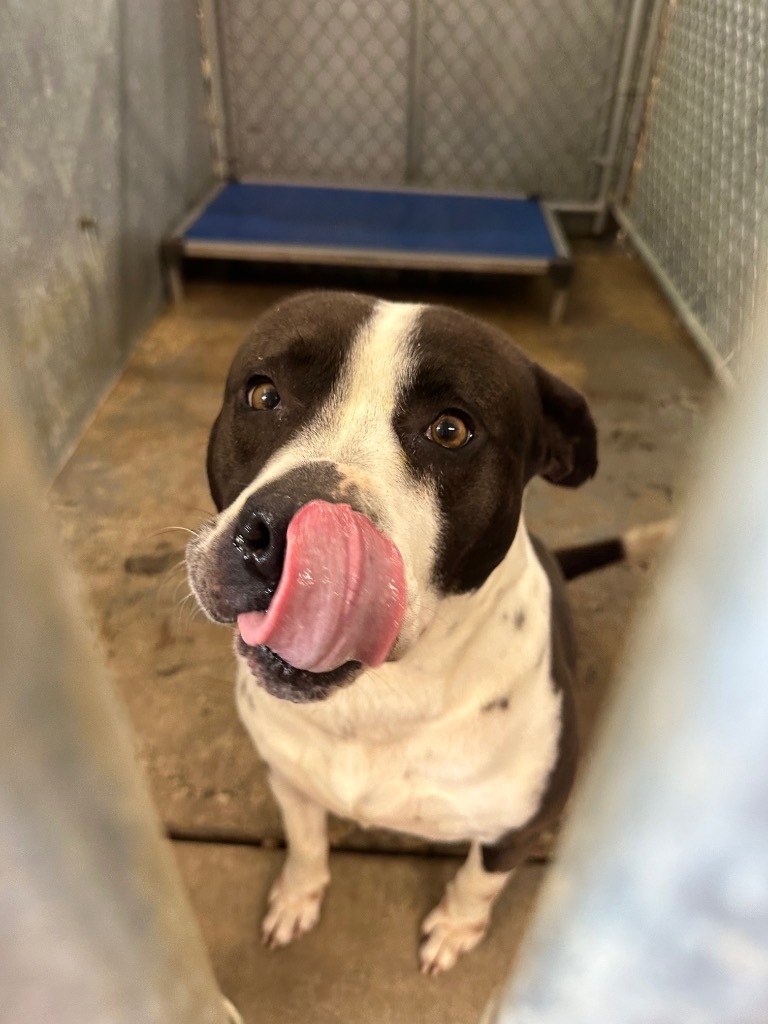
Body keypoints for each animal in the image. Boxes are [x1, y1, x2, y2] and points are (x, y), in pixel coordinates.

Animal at [189, 286, 606, 966]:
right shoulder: (288, 777)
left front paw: (455, 930)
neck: (380, 702)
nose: (282, 537)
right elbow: (306, 842)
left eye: (451, 430)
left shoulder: (521, 826)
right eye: (264, 394)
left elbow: (477, 882)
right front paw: (298, 896)